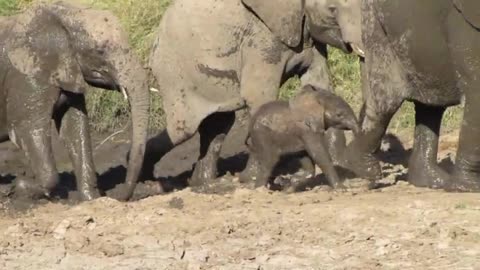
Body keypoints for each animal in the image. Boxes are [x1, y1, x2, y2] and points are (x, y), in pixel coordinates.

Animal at [0, 2, 149, 200]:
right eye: (100, 51)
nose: (118, 196)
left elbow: (74, 127)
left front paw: (91, 199)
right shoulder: (26, 76)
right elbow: (27, 129)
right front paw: (18, 188)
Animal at [148, 0, 362, 186]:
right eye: (332, 9)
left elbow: (320, 83)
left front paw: (340, 165)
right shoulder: (261, 38)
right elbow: (259, 95)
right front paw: (251, 178)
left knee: (218, 125)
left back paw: (203, 183)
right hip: (174, 72)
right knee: (183, 130)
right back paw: (148, 180)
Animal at [344, 0, 480, 192]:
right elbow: (477, 86)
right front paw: (468, 188)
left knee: (431, 105)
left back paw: (433, 181)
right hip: (377, 25)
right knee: (386, 103)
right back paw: (364, 170)